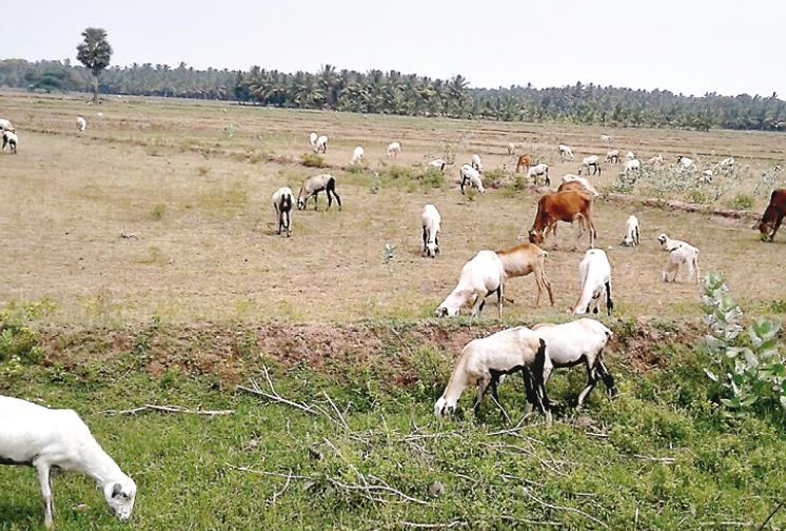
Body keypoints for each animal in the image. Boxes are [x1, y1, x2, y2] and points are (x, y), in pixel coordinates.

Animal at [0, 394, 137, 528]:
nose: (125, 519)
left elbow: (51, 493)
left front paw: (55, 515)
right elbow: (46, 495)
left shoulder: (53, 468)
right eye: (124, 495)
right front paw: (49, 524)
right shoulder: (42, 462)